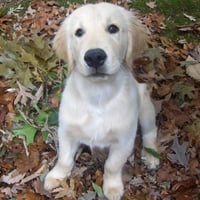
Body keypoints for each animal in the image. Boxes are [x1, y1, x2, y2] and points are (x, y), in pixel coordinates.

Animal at [45, 1, 159, 200]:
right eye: (79, 32)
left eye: (113, 28)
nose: (94, 56)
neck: (97, 95)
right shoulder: (66, 131)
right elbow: (64, 159)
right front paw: (56, 176)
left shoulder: (124, 140)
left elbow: (112, 165)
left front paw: (112, 188)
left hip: (145, 104)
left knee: (150, 132)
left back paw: (151, 155)